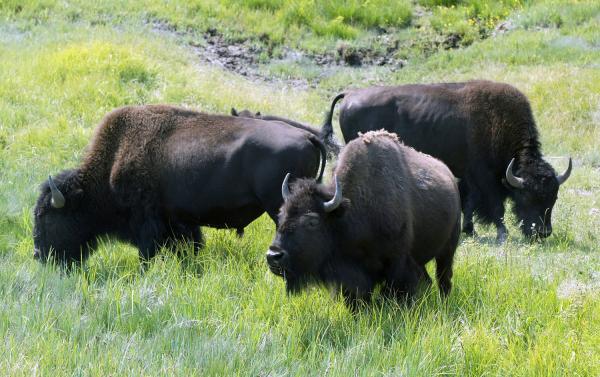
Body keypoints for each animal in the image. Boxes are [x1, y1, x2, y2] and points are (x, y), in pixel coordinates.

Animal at [33, 104, 328, 262]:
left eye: (46, 217)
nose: (38, 254)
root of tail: (308, 137)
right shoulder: (179, 222)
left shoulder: (147, 222)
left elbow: (147, 253)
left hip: (278, 206)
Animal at [266, 131, 460, 306]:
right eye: (281, 214)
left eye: (312, 221)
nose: (273, 255)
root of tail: (451, 177)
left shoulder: (398, 264)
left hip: (447, 250)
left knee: (444, 278)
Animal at [322, 81, 576, 242]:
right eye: (528, 197)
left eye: (553, 198)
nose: (543, 232)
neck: (497, 124)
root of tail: (350, 95)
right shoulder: (484, 178)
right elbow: (495, 207)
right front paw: (501, 234)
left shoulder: (469, 177)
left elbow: (469, 203)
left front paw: (470, 230)